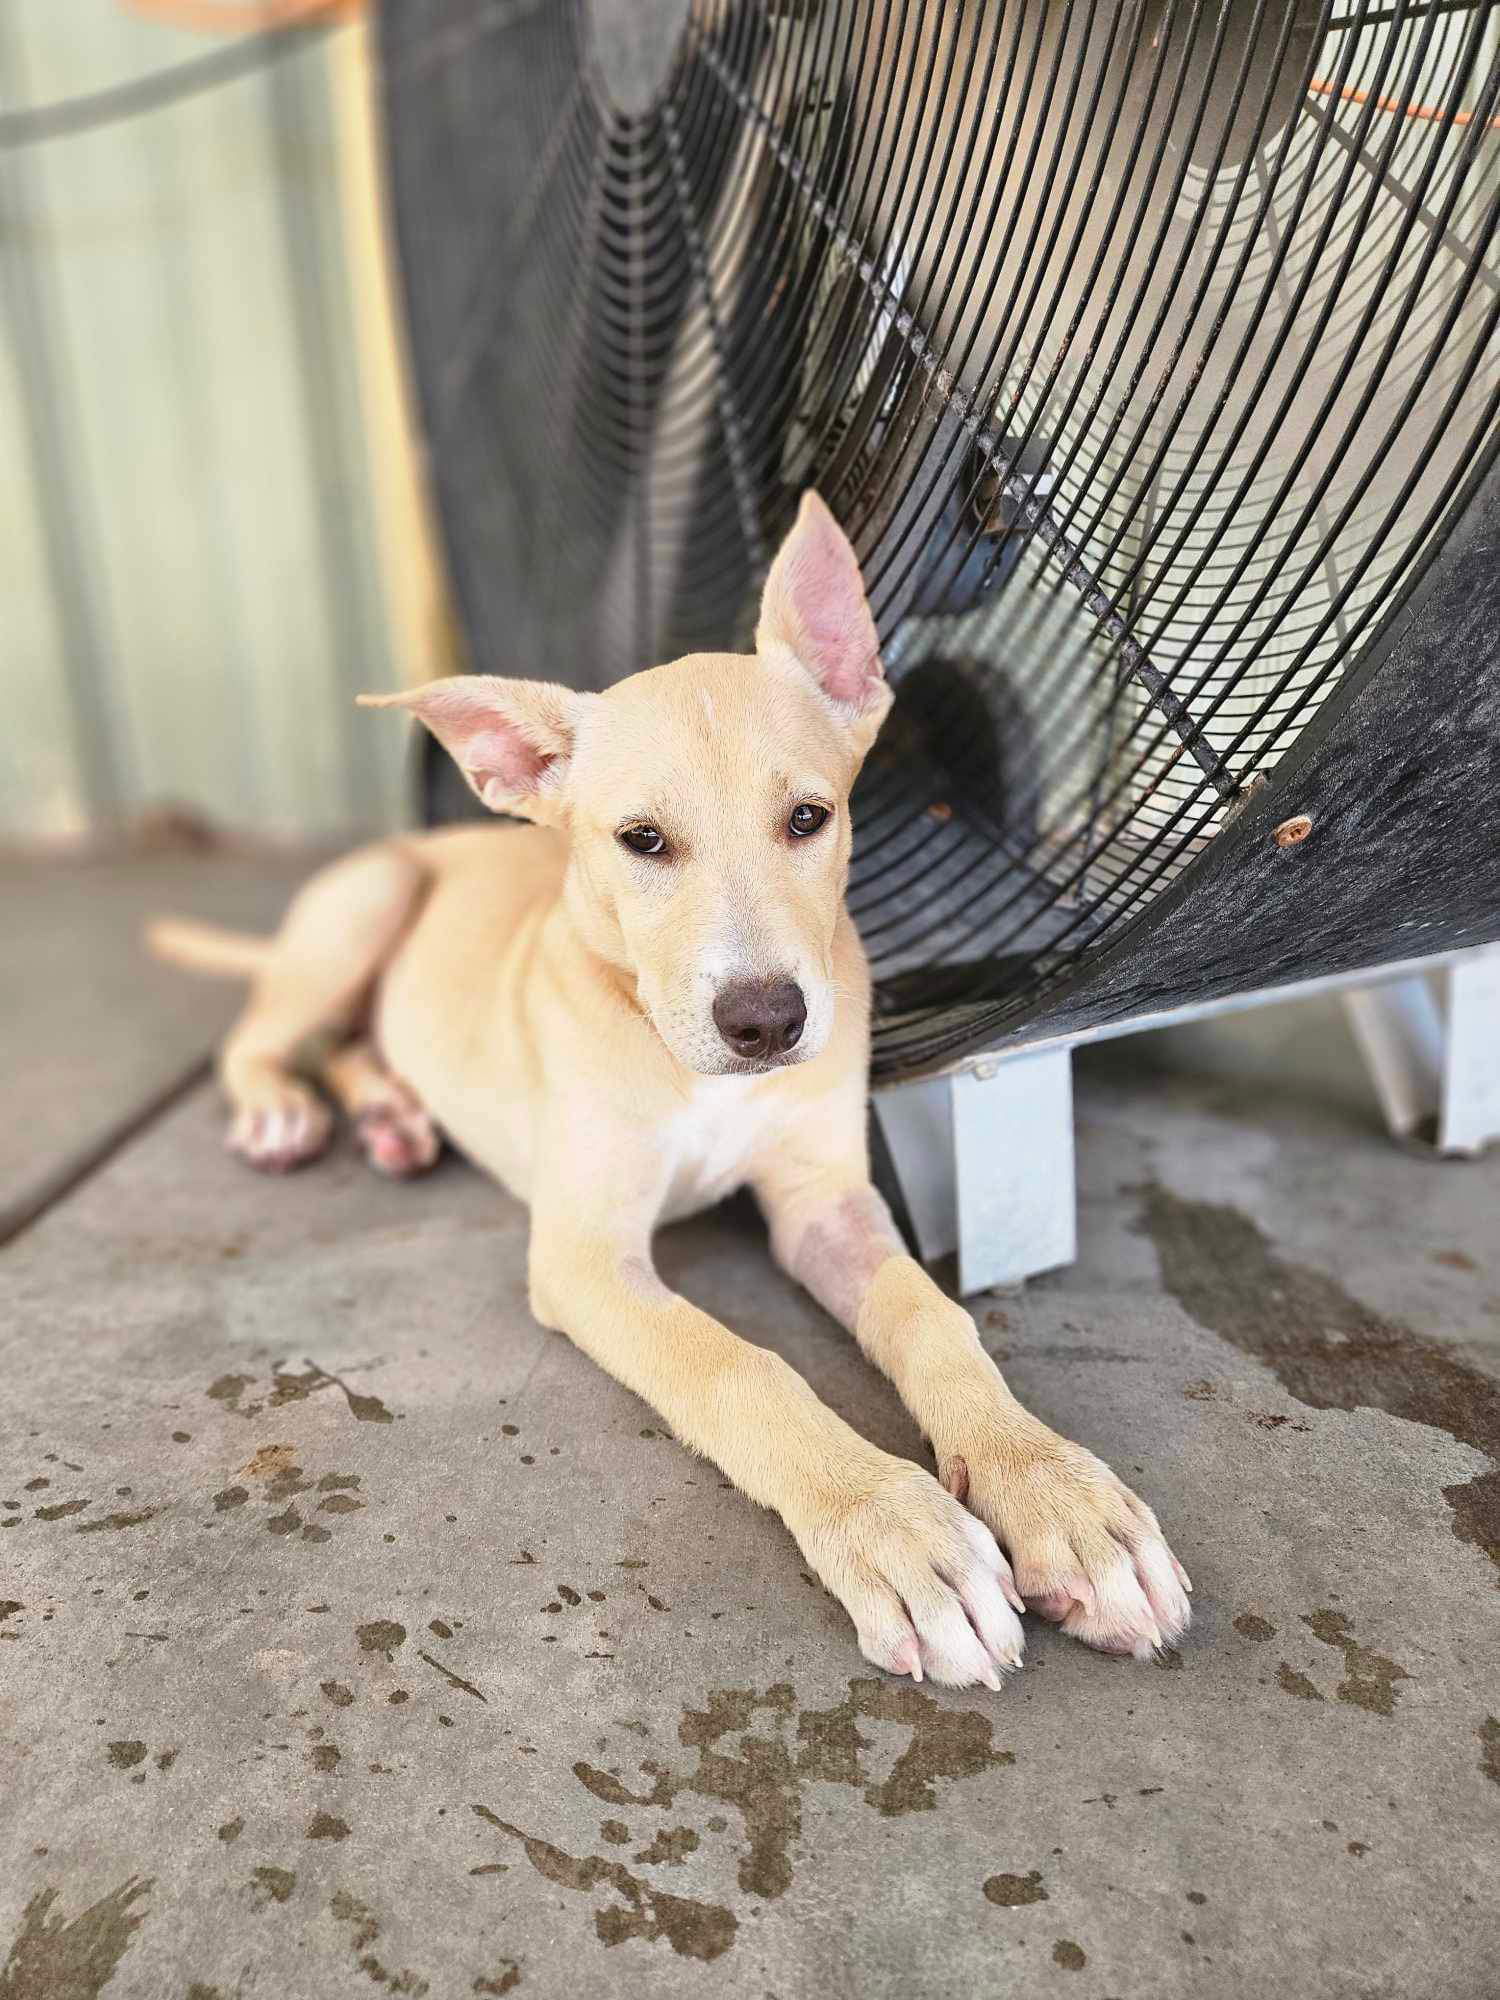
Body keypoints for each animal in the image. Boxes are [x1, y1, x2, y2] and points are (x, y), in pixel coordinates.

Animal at [150, 492, 1184, 1680]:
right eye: (641, 840)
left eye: (809, 818)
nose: (767, 1020)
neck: (677, 1050)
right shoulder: (586, 1255)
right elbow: (738, 1365)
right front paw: (895, 1526)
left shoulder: (825, 1198)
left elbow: (930, 1316)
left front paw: (1054, 1489)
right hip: (363, 905)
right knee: (265, 1036)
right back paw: (286, 1108)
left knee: (359, 1043)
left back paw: (395, 1115)